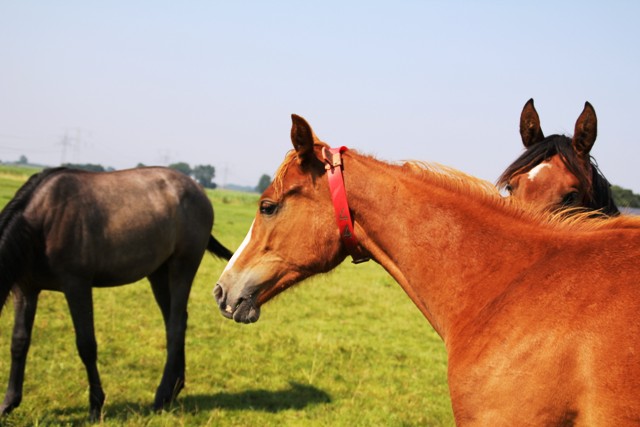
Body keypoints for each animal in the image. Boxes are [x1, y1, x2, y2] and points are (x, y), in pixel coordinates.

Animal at [0, 166, 233, 421]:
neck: (42, 221)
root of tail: (200, 191)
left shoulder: (77, 285)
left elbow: (86, 345)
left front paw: (95, 406)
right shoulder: (25, 289)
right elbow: (19, 341)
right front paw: (8, 403)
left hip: (183, 267)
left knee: (175, 325)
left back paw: (162, 395)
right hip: (158, 274)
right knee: (176, 320)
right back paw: (174, 388)